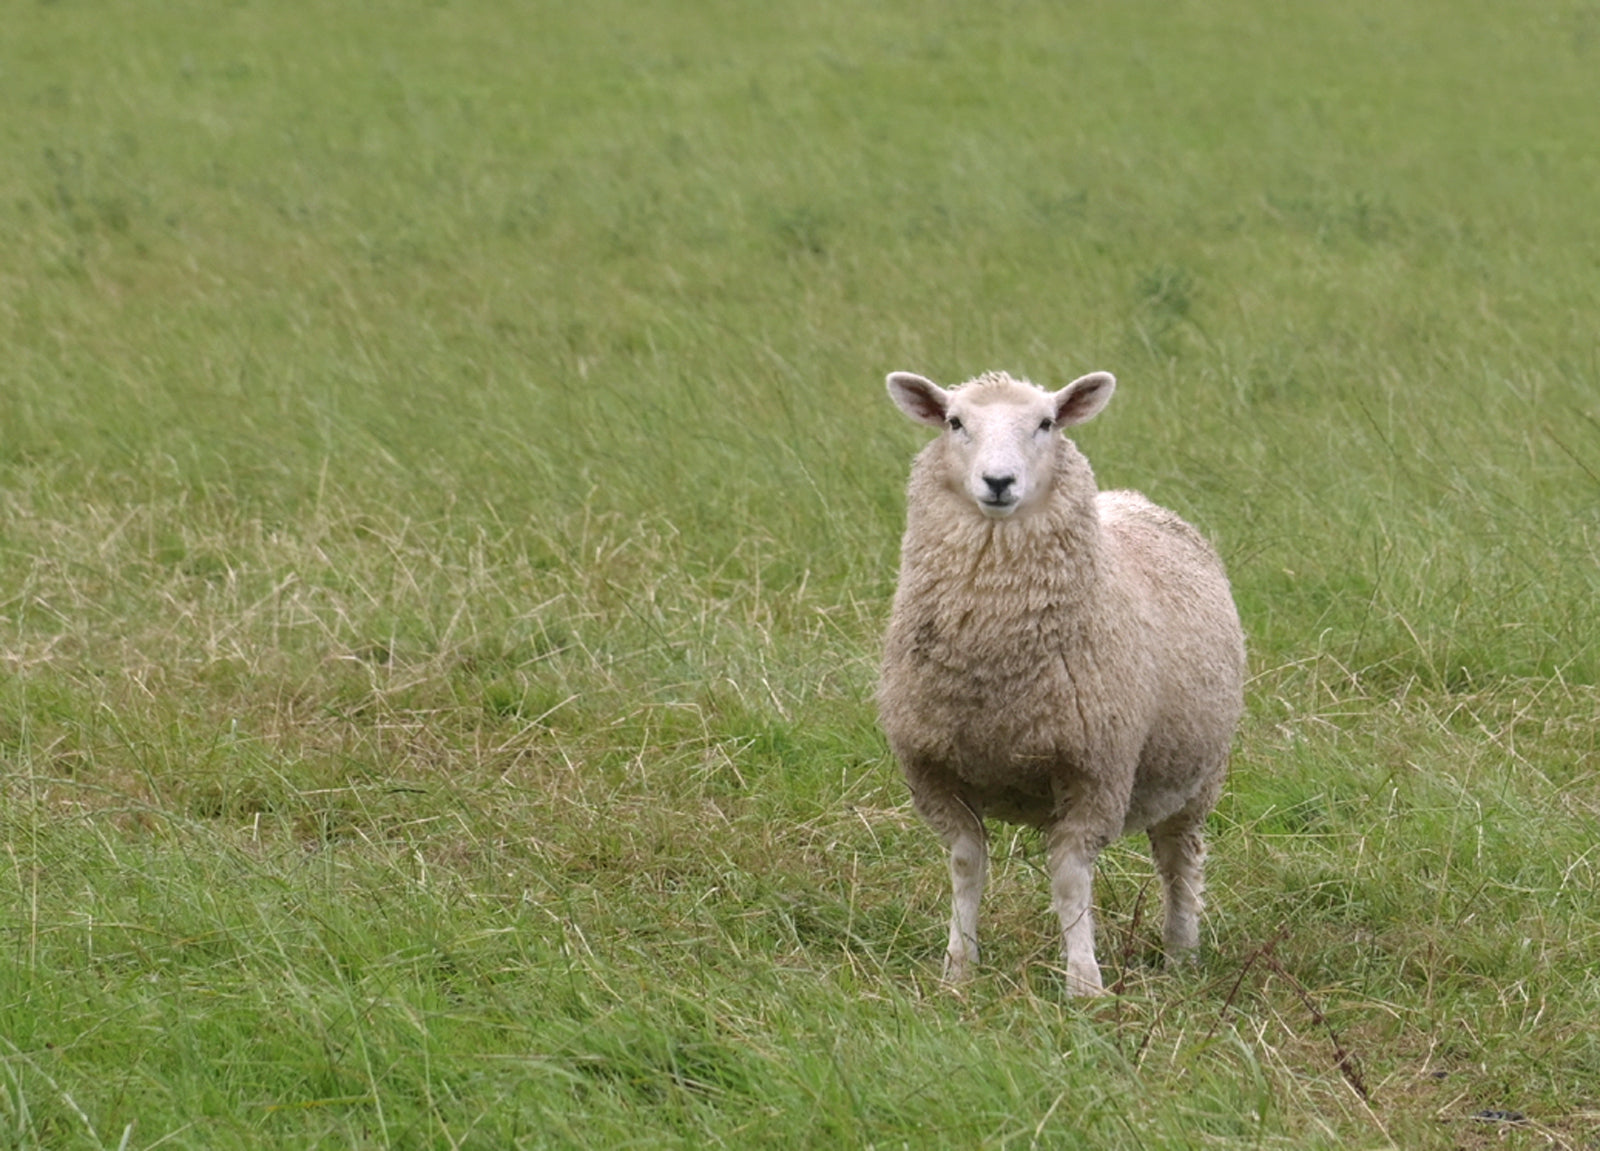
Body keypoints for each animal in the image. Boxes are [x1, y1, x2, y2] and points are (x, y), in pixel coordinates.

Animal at [877, 368, 1245, 995]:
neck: (994, 668)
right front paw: (959, 969)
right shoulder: (934, 770)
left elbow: (1071, 878)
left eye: (1046, 423)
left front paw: (1083, 983)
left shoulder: (1096, 769)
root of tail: (1130, 498)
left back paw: (1181, 953)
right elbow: (966, 867)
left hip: (1196, 775)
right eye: (955, 422)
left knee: (1179, 861)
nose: (998, 482)